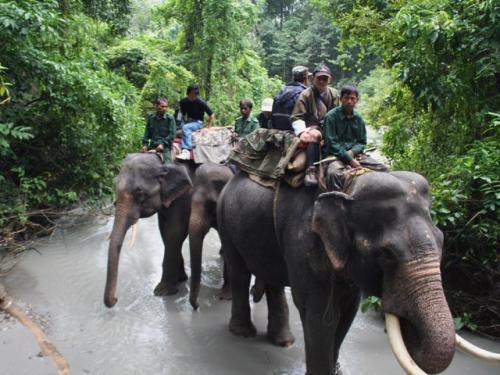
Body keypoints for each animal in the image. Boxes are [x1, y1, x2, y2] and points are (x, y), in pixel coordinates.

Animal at [217, 170, 498, 375]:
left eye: (442, 242)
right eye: (387, 254)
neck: (347, 187)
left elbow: (348, 310)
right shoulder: (304, 240)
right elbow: (319, 313)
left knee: (272, 279)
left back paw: (283, 341)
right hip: (225, 220)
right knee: (240, 272)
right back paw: (243, 333)